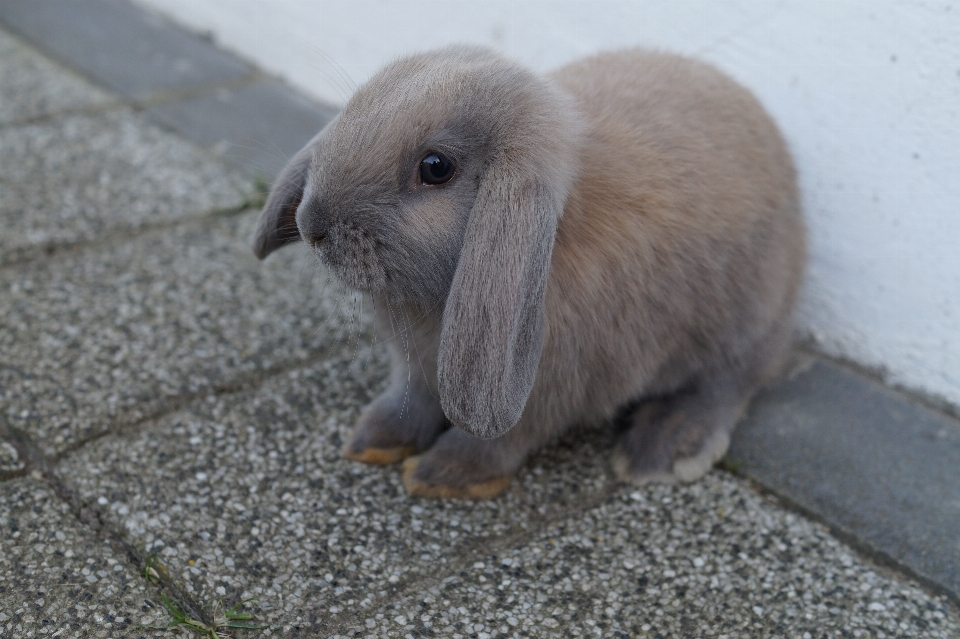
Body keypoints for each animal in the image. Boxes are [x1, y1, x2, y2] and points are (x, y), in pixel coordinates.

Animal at [253, 47, 804, 502]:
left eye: (436, 167)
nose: (311, 223)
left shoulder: (548, 390)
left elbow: (505, 438)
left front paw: (443, 475)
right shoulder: (417, 368)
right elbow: (410, 397)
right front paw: (373, 440)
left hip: (745, 322)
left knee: (731, 380)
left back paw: (665, 447)